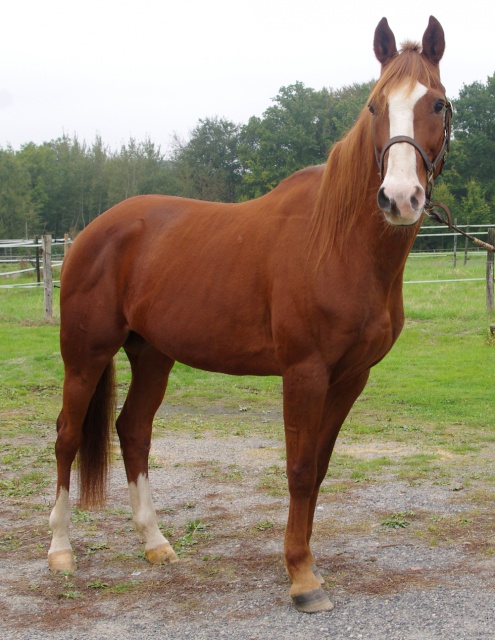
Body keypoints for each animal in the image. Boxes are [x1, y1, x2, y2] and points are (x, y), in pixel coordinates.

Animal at [49, 17, 454, 612]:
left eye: (439, 103)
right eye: (375, 105)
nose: (399, 197)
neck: (338, 242)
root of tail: (92, 232)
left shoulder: (351, 377)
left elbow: (320, 468)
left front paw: (304, 562)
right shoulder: (304, 373)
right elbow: (300, 469)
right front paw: (302, 578)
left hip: (153, 356)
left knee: (133, 430)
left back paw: (156, 543)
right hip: (86, 355)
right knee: (67, 436)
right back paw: (60, 552)